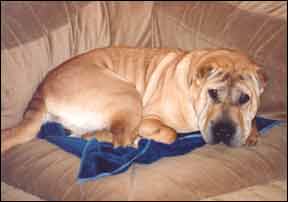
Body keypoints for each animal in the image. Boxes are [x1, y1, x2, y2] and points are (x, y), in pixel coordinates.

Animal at [1, 47, 266, 153]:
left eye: (245, 98)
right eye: (213, 94)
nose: (223, 131)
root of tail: (42, 88)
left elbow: (251, 120)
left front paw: (251, 132)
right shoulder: (149, 118)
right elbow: (170, 133)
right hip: (127, 93)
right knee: (121, 140)